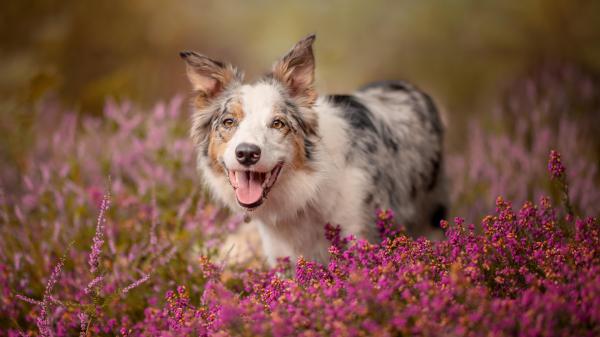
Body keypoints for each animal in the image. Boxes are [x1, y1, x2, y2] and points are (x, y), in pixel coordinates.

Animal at [180, 34, 448, 266]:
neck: (307, 193)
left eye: (278, 123)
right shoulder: (282, 257)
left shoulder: (361, 234)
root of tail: (406, 85)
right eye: (229, 122)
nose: (247, 154)